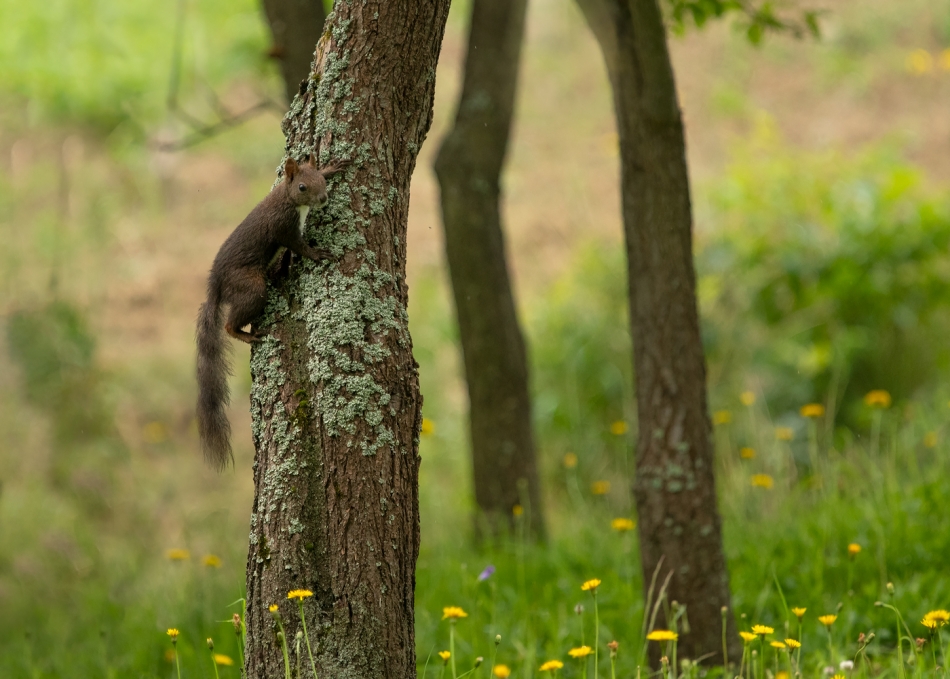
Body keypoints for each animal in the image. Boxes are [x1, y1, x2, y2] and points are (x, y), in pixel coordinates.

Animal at [196, 148, 350, 468]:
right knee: (229, 324)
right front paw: (319, 254)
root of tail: (216, 285)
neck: (288, 199)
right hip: (251, 286)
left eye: (319, 180)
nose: (323, 199)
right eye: (302, 187)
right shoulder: (284, 229)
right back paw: (246, 334)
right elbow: (301, 247)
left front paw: (332, 167)